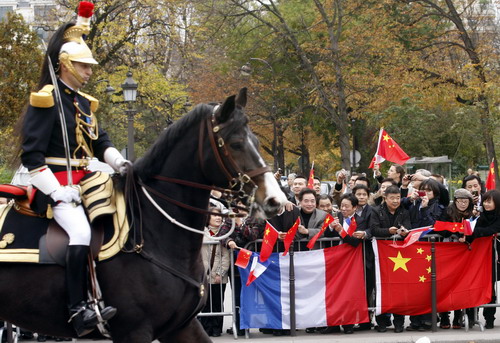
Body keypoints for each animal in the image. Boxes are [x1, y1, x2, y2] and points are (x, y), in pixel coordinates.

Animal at [0, 89, 288, 343]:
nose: (276, 200)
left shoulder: (182, 327)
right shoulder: (134, 331)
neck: (153, 231)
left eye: (258, 142)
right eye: (236, 144)